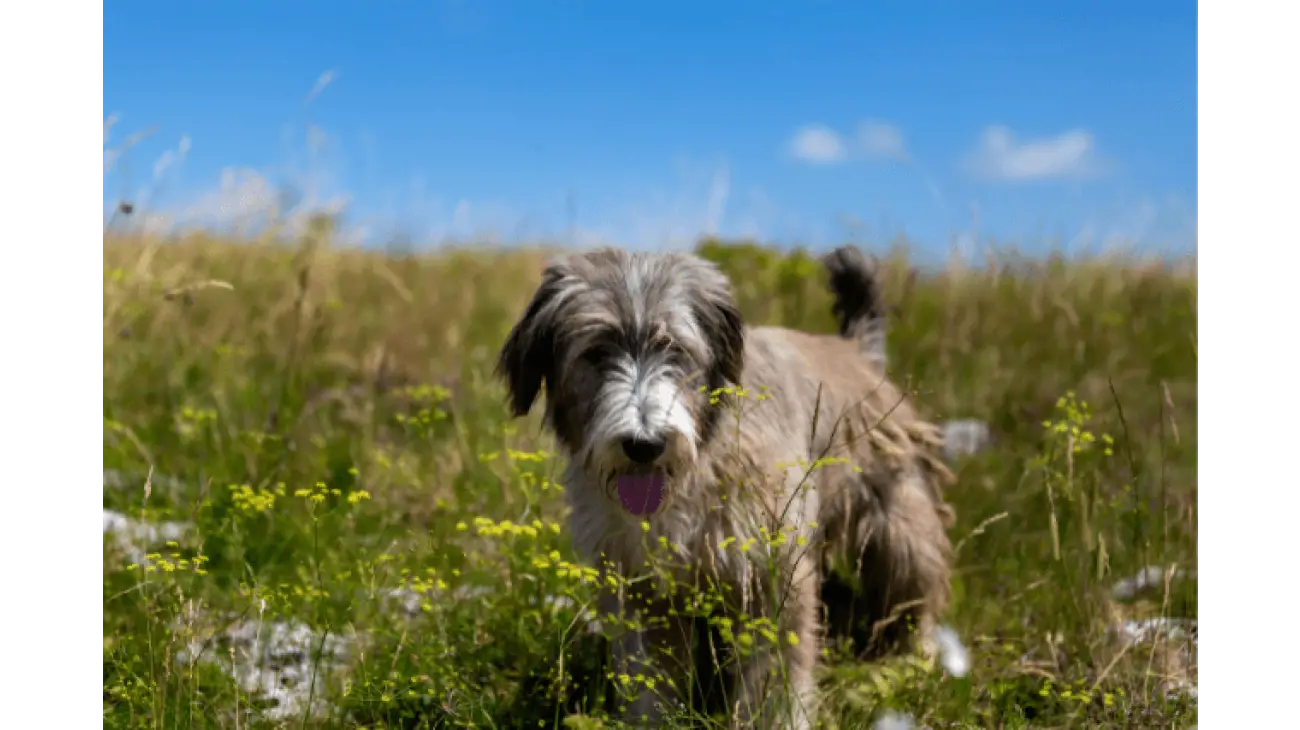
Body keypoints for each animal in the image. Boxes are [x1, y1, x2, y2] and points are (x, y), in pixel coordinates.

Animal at [496, 242, 956, 722]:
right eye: (597, 353)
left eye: (675, 349)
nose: (645, 444)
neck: (698, 465)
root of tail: (856, 351)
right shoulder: (641, 590)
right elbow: (649, 679)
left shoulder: (773, 575)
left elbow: (777, 676)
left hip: (902, 530)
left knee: (917, 596)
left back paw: (917, 662)